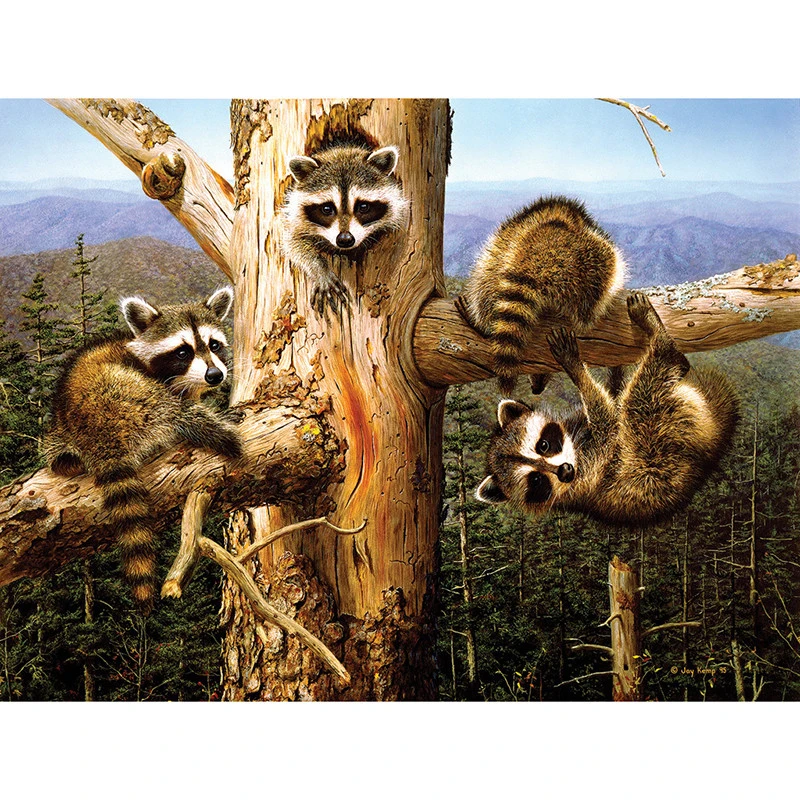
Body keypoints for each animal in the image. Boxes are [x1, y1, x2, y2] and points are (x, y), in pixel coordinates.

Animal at [44, 288, 243, 613]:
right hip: (125, 397)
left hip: (60, 431)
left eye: (214, 344)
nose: (215, 375)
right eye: (183, 352)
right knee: (171, 410)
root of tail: (97, 431)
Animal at [282, 143, 409, 317]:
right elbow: (293, 242)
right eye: (327, 209)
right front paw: (319, 268)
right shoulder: (295, 221)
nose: (344, 239)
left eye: (363, 207)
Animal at [475, 292, 740, 527]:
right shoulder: (589, 475)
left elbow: (611, 400)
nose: (565, 471)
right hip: (655, 451)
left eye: (544, 445)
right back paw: (663, 345)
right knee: (639, 398)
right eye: (537, 481)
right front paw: (576, 369)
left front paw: (610, 373)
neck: (575, 447)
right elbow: (609, 423)